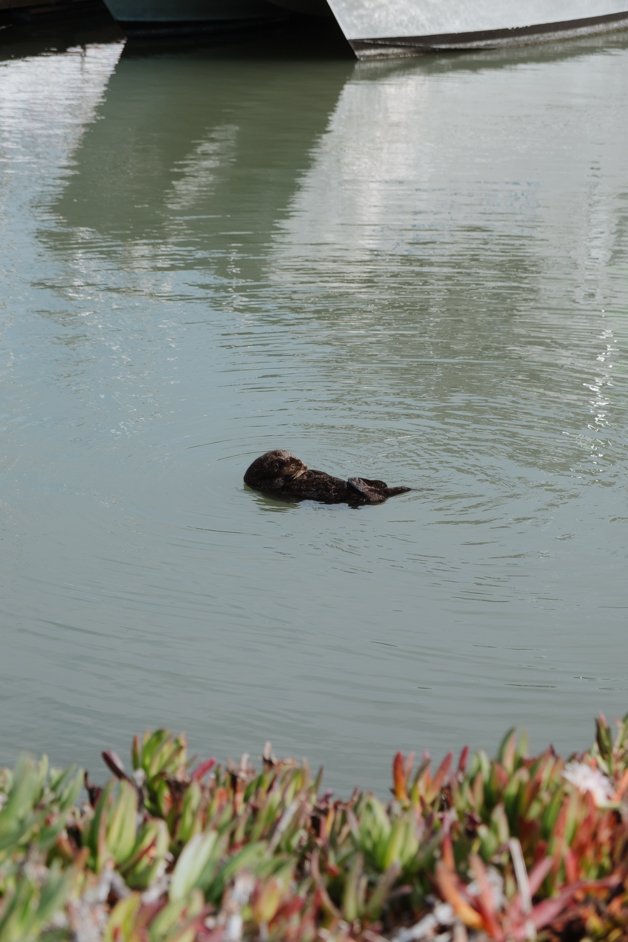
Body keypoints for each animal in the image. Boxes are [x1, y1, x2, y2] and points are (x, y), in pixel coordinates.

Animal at [242, 452, 412, 506]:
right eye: (295, 463)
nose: (304, 464)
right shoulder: (265, 484)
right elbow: (278, 483)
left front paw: (312, 471)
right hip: (367, 497)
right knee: (371, 496)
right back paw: (355, 480)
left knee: (379, 485)